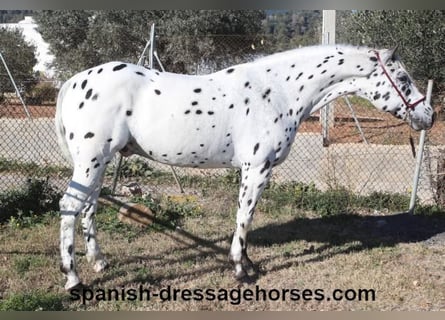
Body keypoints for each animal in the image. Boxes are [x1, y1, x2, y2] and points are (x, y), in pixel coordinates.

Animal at [55, 45, 434, 290]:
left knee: (88, 207)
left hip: (100, 163)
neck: (278, 91)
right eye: (402, 78)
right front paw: (241, 269)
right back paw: (73, 280)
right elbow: (245, 217)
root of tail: (72, 82)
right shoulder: (257, 168)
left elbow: (244, 217)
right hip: (91, 160)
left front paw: (246, 263)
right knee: (70, 207)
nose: (428, 115)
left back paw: (99, 262)